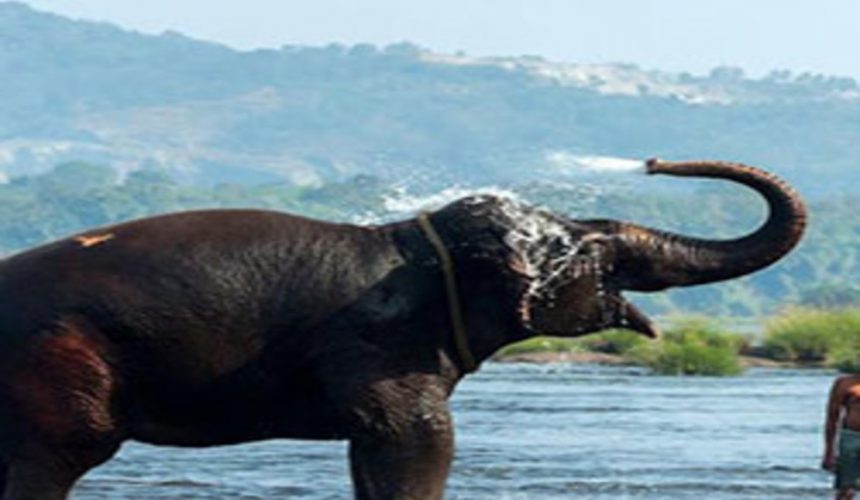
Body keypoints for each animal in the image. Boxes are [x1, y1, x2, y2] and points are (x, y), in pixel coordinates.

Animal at [0, 158, 808, 498]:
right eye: (592, 250)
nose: (652, 160)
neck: (417, 243)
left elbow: (377, 455)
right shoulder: (376, 347)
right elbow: (418, 441)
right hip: (54, 364)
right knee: (61, 457)